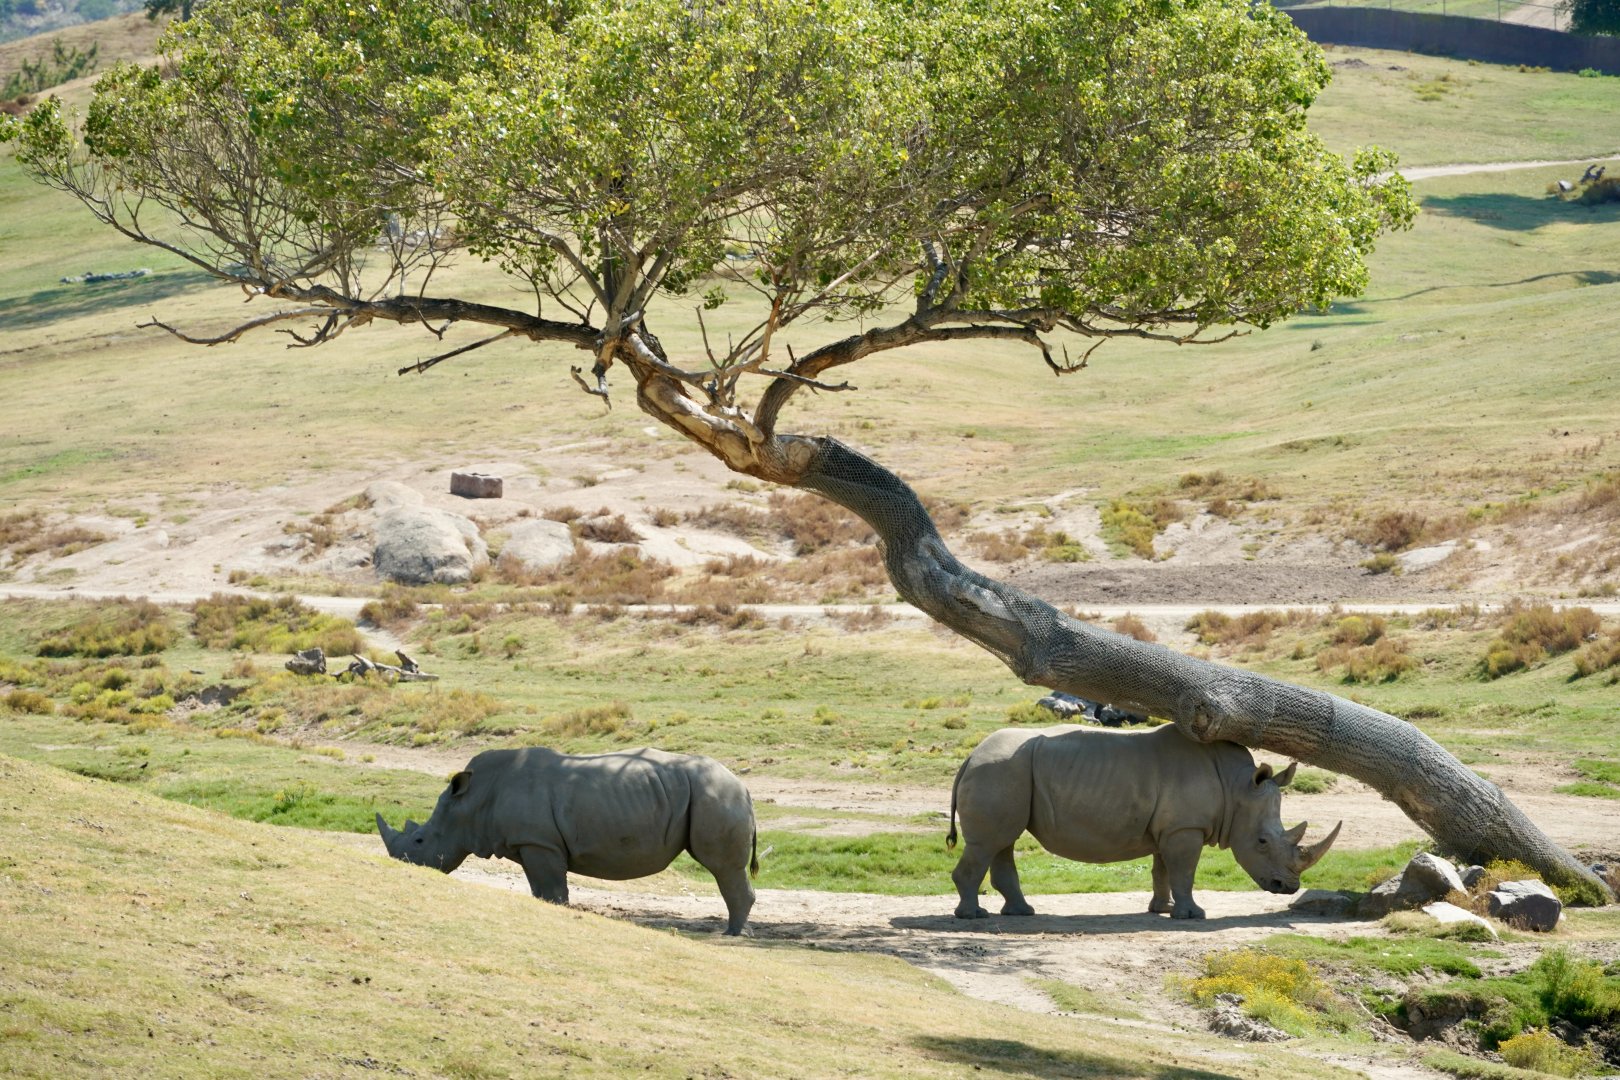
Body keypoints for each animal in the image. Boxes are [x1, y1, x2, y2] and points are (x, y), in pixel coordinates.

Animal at [376, 746, 759, 934]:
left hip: (715, 795)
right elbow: (541, 890)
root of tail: (744, 786)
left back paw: (731, 935)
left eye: (420, 840)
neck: (470, 802)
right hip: (708, 793)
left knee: (723, 868)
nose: (401, 865)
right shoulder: (530, 843)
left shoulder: (539, 843)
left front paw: (557, 912)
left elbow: (552, 889)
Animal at [946, 724, 1340, 920]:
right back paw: (974, 917)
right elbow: (1184, 871)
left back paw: (1021, 913)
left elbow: (1163, 870)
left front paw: (1162, 910)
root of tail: (969, 756)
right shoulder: (1185, 828)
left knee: (1002, 841)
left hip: (1007, 774)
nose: (1287, 887)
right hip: (998, 772)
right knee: (989, 843)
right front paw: (1192, 916)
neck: (1237, 786)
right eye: (1261, 842)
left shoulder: (1172, 827)